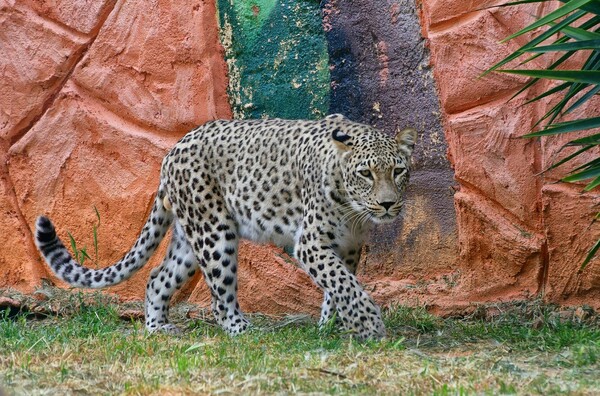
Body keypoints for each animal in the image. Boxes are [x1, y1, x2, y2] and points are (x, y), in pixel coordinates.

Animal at [34, 113, 418, 340]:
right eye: (365, 173)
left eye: (398, 171)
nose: (388, 204)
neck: (353, 210)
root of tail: (171, 152)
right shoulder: (311, 243)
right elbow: (343, 283)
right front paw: (369, 326)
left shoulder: (348, 246)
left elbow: (339, 285)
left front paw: (332, 325)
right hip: (215, 232)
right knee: (219, 297)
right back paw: (242, 329)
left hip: (191, 237)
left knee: (158, 277)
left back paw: (159, 328)